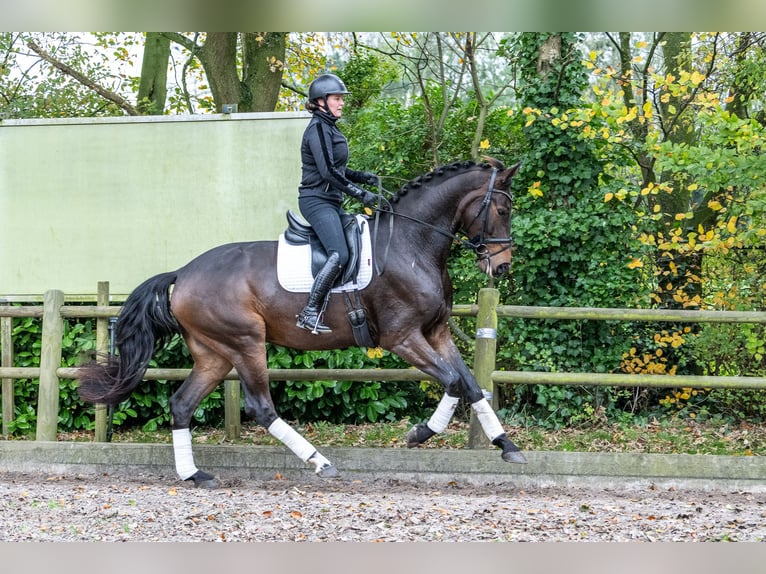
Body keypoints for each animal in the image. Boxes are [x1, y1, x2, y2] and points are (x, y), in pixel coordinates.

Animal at [81, 156, 532, 486]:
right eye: (502, 208)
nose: (503, 267)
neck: (411, 244)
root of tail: (183, 272)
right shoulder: (403, 338)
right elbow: (454, 382)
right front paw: (419, 434)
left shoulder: (436, 333)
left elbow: (471, 385)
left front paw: (507, 446)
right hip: (245, 343)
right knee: (260, 407)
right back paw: (319, 462)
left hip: (214, 353)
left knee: (181, 404)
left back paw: (194, 475)